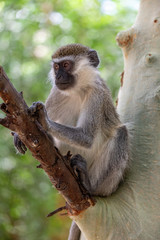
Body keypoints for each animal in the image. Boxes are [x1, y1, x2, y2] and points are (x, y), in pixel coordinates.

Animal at [13, 43, 129, 240]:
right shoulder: (56, 92)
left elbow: (87, 137)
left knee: (122, 133)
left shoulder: (97, 95)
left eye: (66, 65)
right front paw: (21, 133)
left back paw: (90, 186)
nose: (58, 76)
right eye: (56, 67)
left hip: (99, 173)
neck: (78, 90)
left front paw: (44, 120)